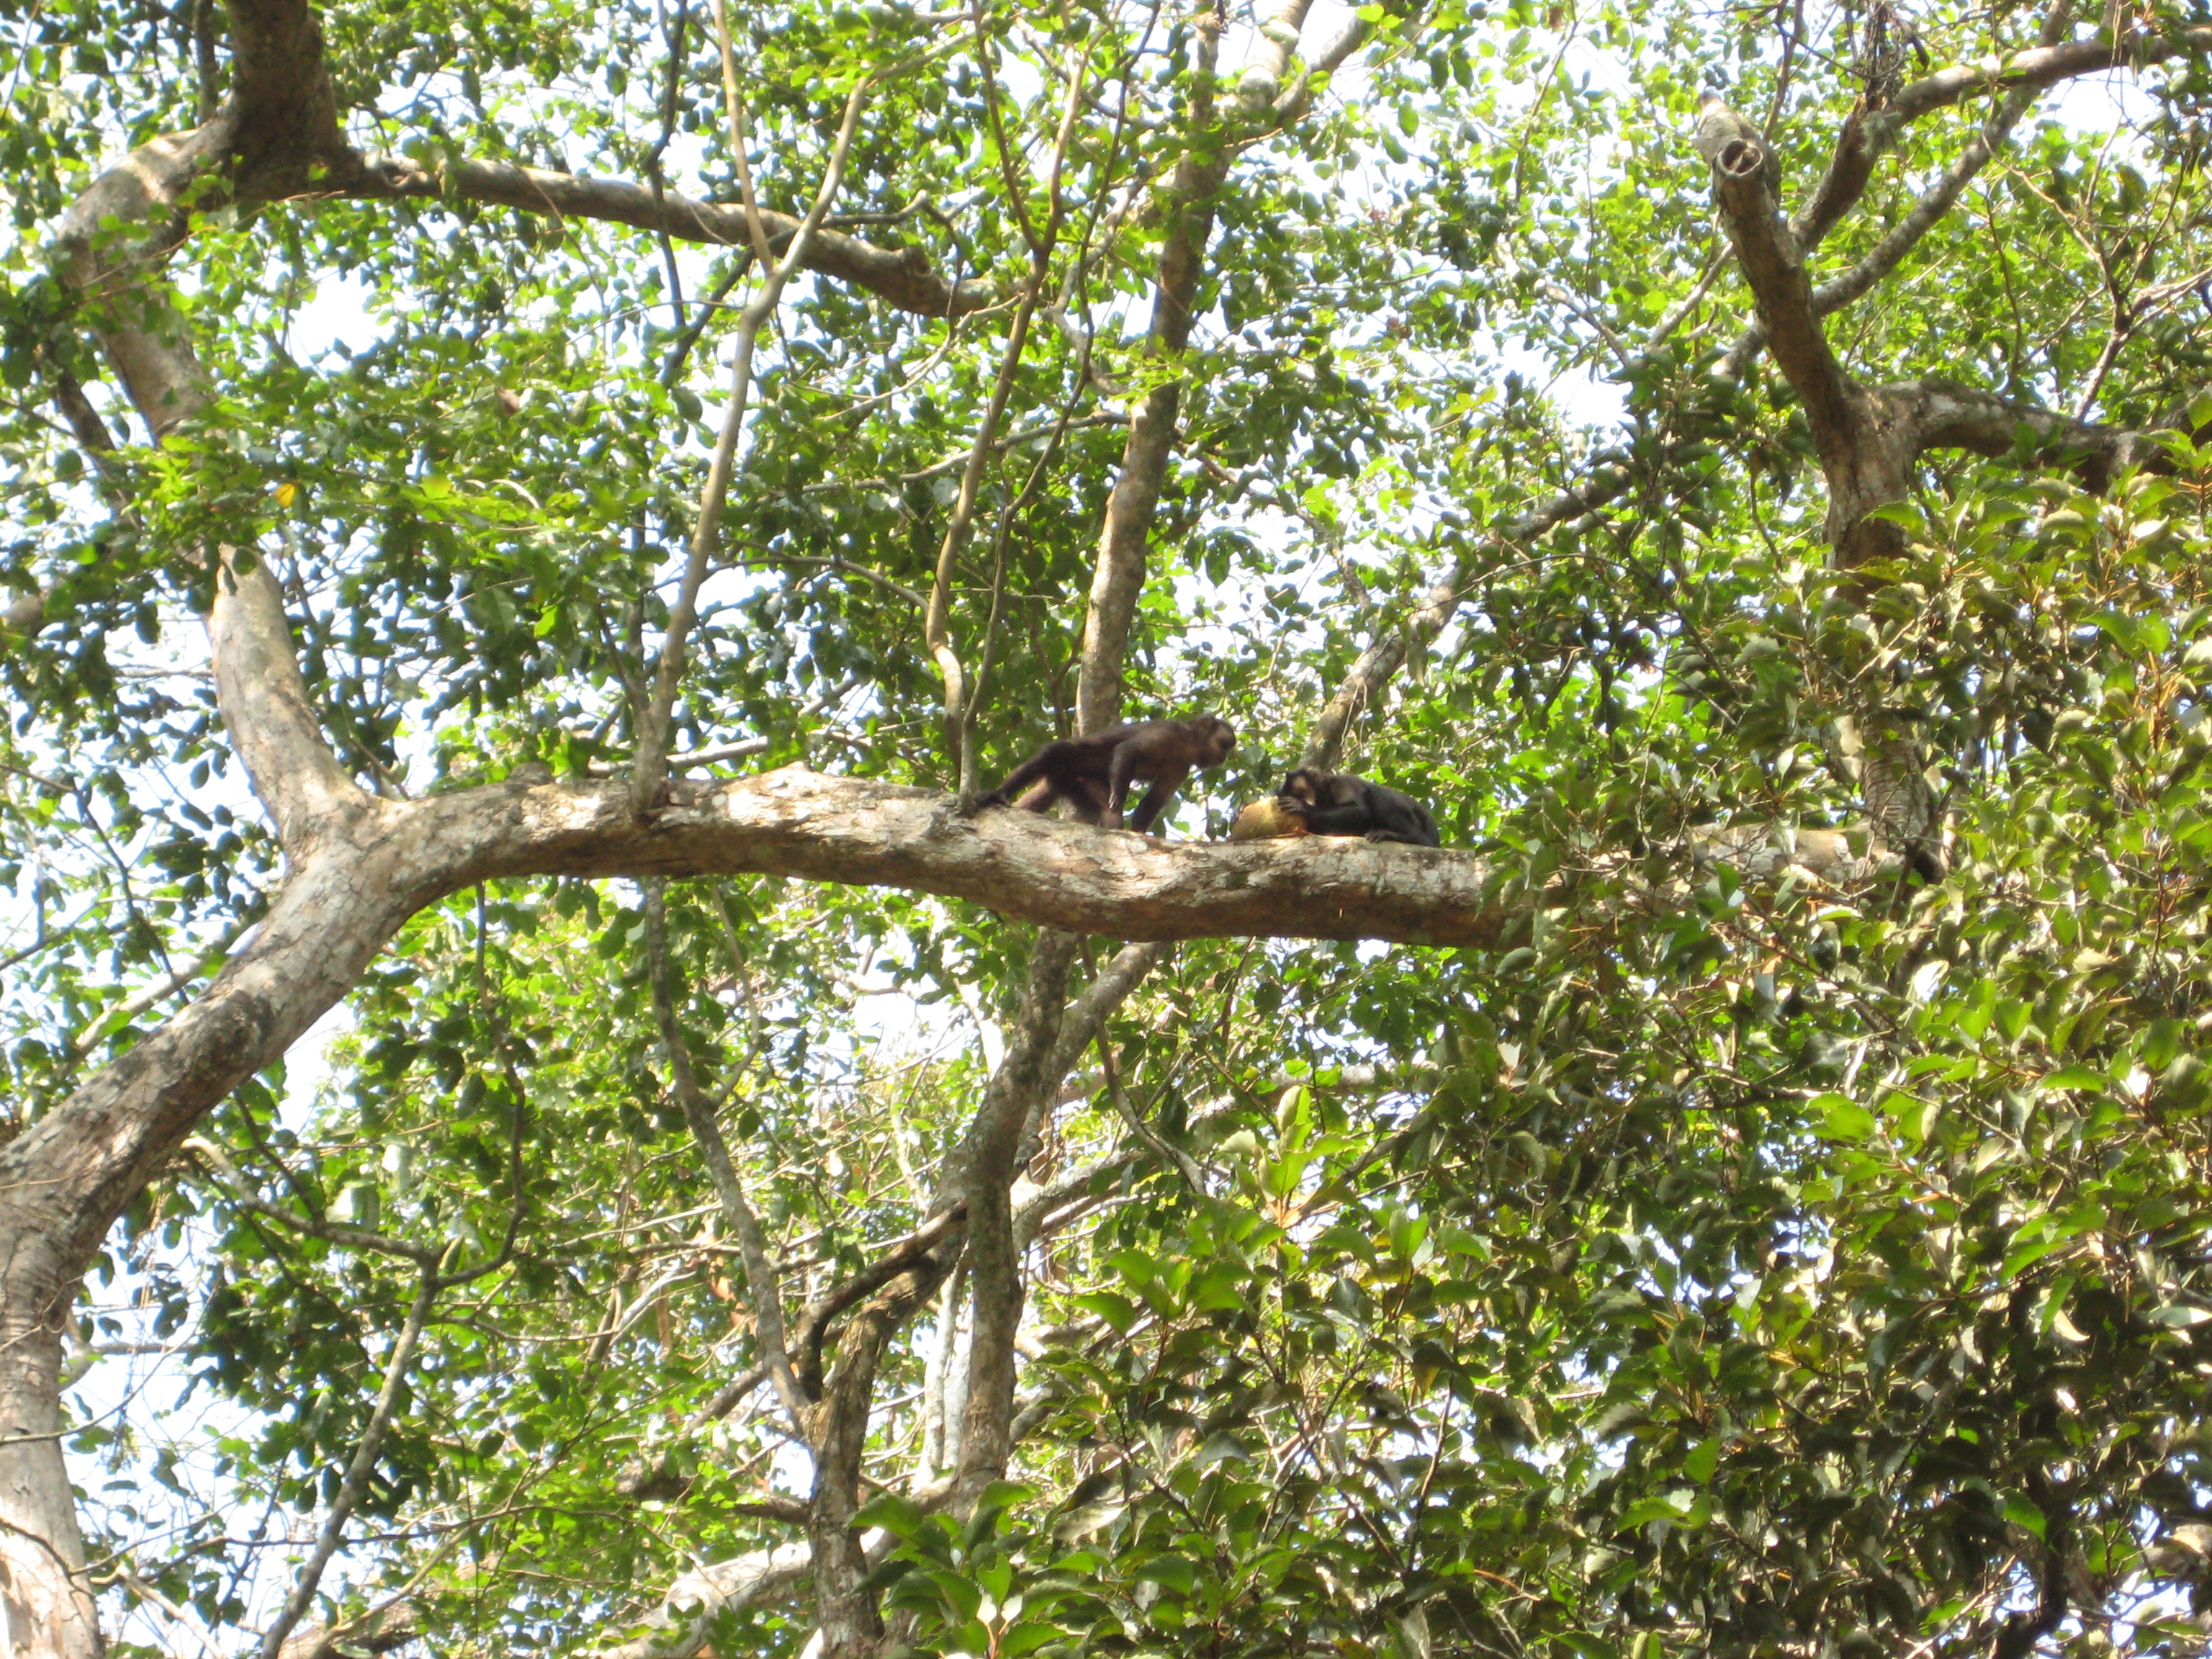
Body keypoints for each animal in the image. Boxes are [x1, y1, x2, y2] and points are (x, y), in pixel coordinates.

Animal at [977, 714, 1235, 834]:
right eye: (1225, 745)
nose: (1225, 757)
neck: (1185, 745)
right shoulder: (1169, 732)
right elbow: (1128, 750)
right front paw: (1119, 796)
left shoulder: (1181, 767)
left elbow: (1153, 800)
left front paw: (1137, 832)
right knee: (1056, 752)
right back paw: (997, 794)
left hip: (1079, 782)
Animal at [1277, 767, 1441, 847]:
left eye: (1300, 794)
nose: (1304, 800)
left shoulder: (1341, 783)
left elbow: (1360, 811)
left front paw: (1303, 808)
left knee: (1377, 794)